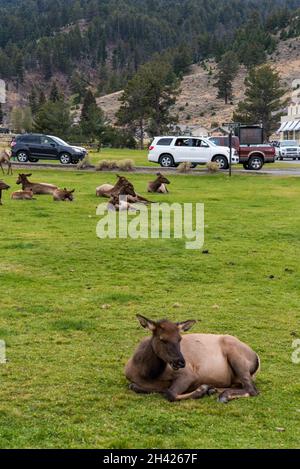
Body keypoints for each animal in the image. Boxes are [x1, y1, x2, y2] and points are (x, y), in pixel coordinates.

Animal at [125, 314, 258, 402]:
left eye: (179, 339)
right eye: (162, 339)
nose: (180, 362)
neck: (147, 373)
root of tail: (256, 358)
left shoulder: (188, 374)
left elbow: (170, 394)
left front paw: (202, 389)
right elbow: (134, 386)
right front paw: (207, 389)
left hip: (236, 356)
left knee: (252, 389)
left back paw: (223, 395)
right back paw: (213, 390)